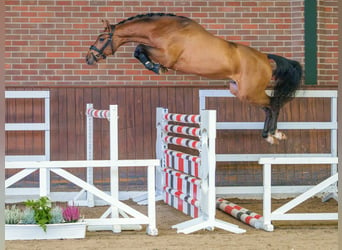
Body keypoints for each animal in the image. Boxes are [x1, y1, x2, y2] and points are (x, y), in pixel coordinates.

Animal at [85, 13, 302, 145]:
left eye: (102, 38)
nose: (89, 58)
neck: (163, 30)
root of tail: (264, 57)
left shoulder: (167, 56)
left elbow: (139, 49)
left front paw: (156, 68)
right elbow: (139, 49)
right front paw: (155, 67)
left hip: (251, 92)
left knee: (274, 104)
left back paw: (274, 135)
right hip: (241, 92)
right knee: (268, 108)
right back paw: (268, 134)